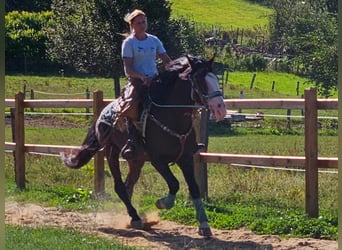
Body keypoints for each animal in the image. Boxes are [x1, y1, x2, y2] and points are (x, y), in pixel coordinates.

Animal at [60, 54, 227, 236]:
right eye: (199, 80)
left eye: (215, 79)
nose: (221, 109)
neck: (172, 117)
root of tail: (102, 113)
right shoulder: (157, 160)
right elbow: (174, 184)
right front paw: (162, 203)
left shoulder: (186, 158)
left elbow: (194, 188)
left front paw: (204, 224)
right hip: (112, 152)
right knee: (120, 187)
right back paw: (136, 218)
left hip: (136, 161)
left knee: (128, 186)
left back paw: (133, 217)